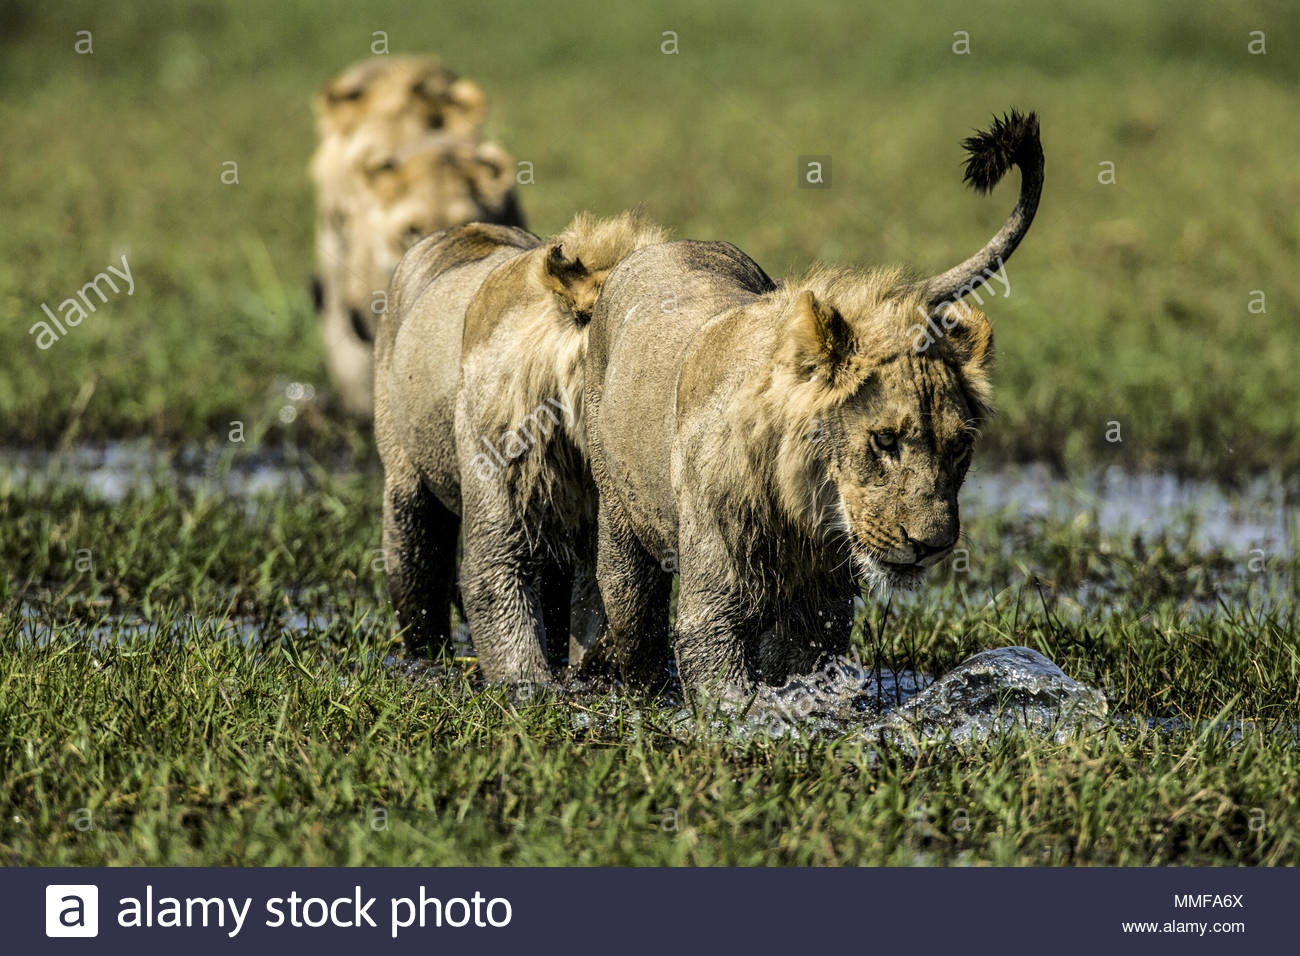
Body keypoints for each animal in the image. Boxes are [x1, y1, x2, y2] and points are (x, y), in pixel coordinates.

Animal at [374, 212, 667, 679]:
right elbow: (493, 584)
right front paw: (531, 689)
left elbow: (598, 601)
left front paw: (587, 674)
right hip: (405, 472)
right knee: (415, 559)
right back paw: (426, 657)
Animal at [580, 111, 1044, 699]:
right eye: (884, 440)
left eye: (960, 447)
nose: (932, 545)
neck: (804, 511)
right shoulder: (713, 608)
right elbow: (728, 691)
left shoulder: (822, 611)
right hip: (621, 513)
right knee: (630, 605)